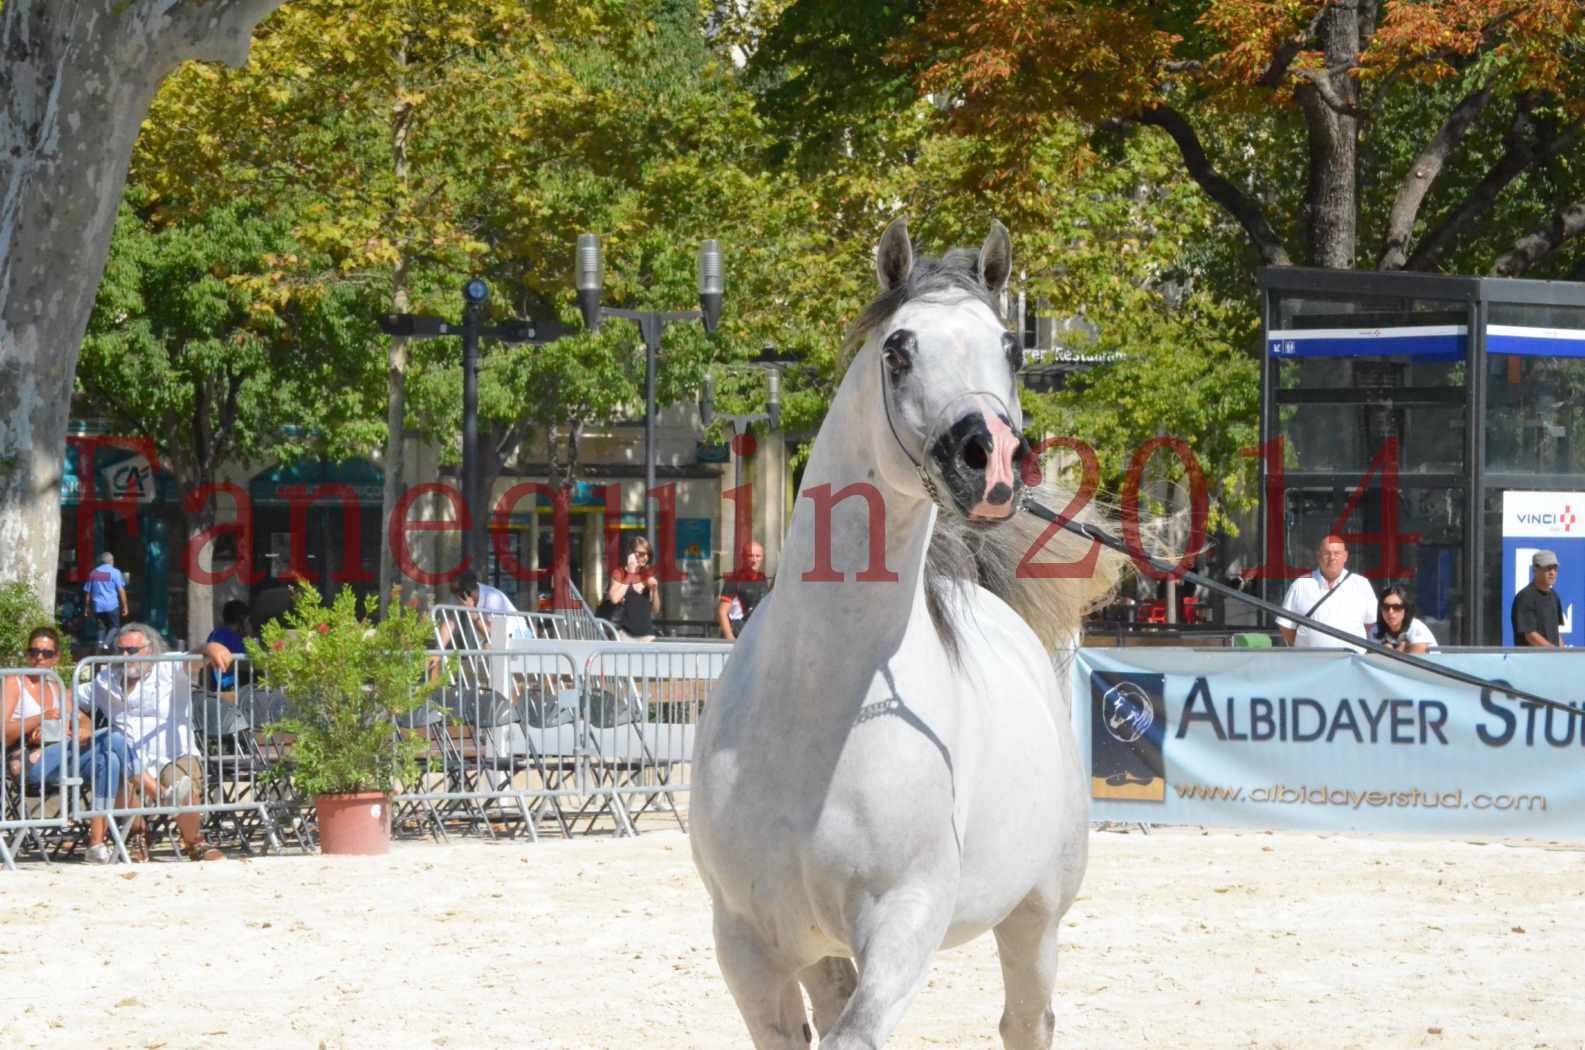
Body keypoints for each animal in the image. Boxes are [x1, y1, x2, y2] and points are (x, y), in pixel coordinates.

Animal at [694, 217, 1128, 1046]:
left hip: (1034, 917)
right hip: (822, 951)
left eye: (1011, 347)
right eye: (898, 350)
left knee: (1026, 1019)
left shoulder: (905, 922)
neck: (818, 711)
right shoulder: (745, 946)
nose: (992, 462)